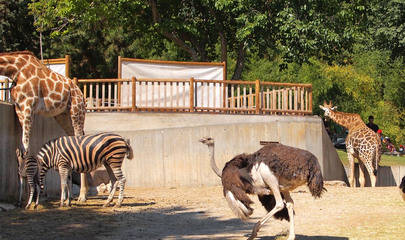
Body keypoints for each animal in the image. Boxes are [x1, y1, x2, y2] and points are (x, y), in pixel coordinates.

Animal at [0, 51, 89, 202]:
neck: (15, 69)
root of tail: (81, 94)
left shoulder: (28, 107)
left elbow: (26, 146)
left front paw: (29, 195)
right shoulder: (19, 109)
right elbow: (22, 148)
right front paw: (22, 195)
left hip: (77, 112)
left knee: (80, 142)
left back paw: (82, 195)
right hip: (63, 116)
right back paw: (69, 195)